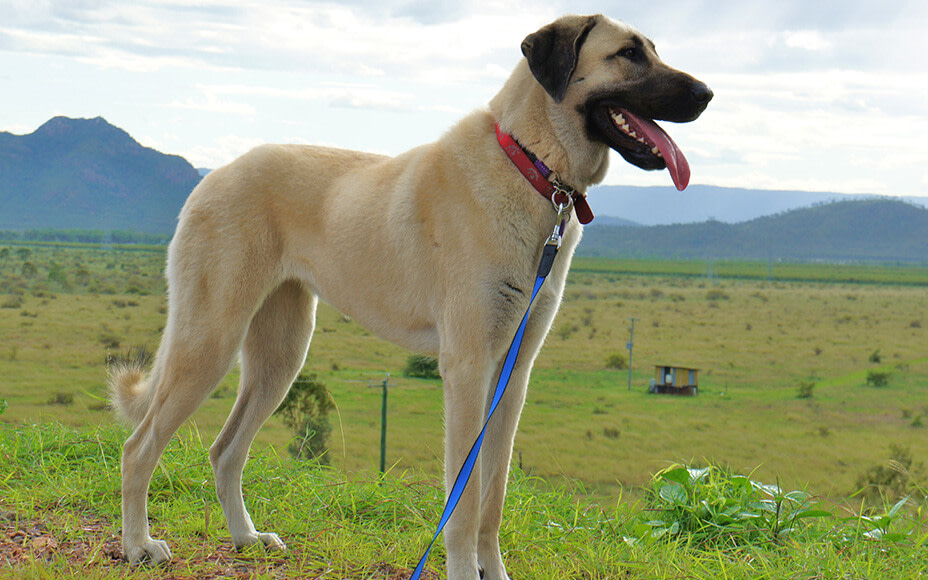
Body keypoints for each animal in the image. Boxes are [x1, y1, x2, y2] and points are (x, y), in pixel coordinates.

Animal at [112, 14, 716, 580]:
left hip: (280, 357)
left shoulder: (512, 375)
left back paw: (245, 537)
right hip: (210, 339)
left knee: (225, 449)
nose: (708, 94)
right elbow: (464, 502)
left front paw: (493, 570)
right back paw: (140, 545)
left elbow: (493, 495)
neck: (530, 162)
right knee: (139, 448)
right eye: (628, 53)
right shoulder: (468, 369)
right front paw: (462, 571)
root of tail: (213, 176)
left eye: (652, 48)